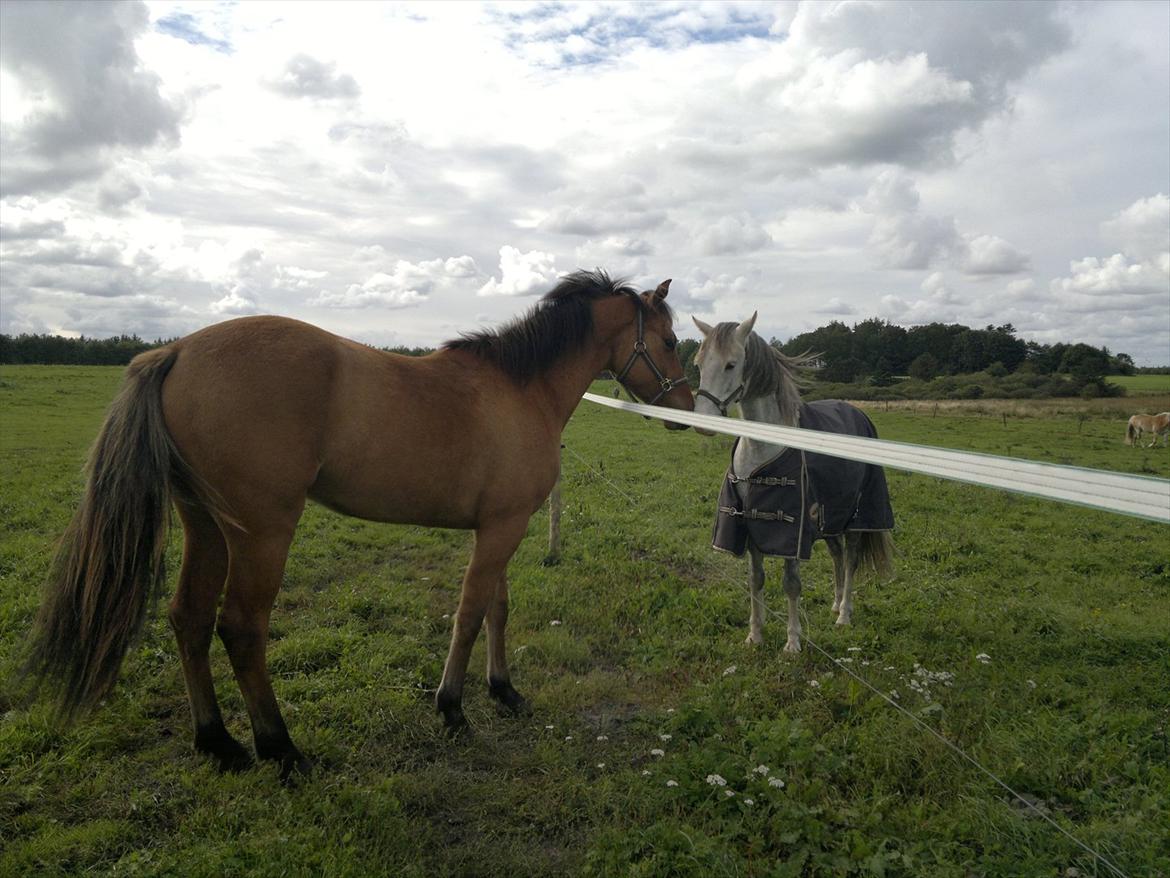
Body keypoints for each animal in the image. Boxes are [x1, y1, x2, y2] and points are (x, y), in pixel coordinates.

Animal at [24, 269, 694, 780]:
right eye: (668, 340)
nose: (687, 412)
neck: (520, 389)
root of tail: (178, 350)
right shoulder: (501, 529)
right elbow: (469, 615)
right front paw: (452, 708)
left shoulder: (501, 527)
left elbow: (496, 609)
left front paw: (504, 691)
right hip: (262, 532)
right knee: (240, 628)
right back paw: (281, 749)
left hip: (206, 527)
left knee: (188, 618)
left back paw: (219, 744)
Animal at [691, 313, 894, 654]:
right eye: (699, 363)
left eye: (731, 364)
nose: (703, 422)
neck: (763, 449)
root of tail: (857, 413)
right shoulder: (751, 527)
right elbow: (755, 579)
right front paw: (755, 635)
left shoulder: (791, 532)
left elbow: (791, 585)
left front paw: (793, 642)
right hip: (829, 519)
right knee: (837, 555)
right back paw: (835, 605)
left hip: (857, 518)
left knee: (850, 559)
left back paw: (844, 614)